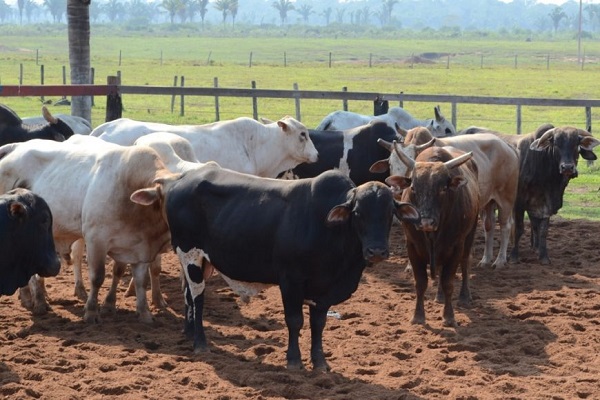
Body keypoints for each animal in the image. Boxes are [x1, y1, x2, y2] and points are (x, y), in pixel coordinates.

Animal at [0, 139, 175, 324]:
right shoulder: (96, 240)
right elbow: (97, 277)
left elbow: (141, 281)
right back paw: (38, 301)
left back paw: (29, 297)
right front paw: (91, 312)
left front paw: (144, 313)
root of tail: (16, 146)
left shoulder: (140, 249)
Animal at [131, 164, 420, 370]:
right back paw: (200, 343)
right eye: (358, 213)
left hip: (202, 261)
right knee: (198, 298)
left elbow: (318, 323)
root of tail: (180, 180)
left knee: (188, 295)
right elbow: (295, 321)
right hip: (189, 253)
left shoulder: (323, 288)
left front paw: (320, 362)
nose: (377, 251)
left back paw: (189, 332)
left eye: (390, 213)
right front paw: (294, 360)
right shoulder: (291, 280)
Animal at [508, 123, 596, 264]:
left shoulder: (544, 205)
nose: (567, 167)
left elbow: (542, 230)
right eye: (556, 144)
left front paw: (543, 256)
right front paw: (514, 256)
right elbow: (519, 229)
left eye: (576, 144)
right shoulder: (518, 203)